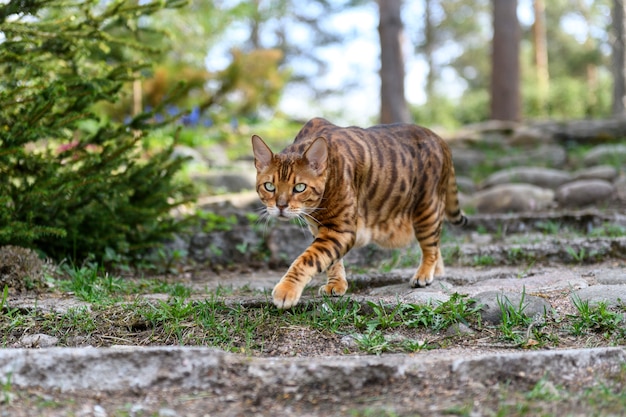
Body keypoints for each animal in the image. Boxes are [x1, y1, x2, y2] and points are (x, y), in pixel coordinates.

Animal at [249, 118, 464, 308]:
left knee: (430, 246)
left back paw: (424, 274)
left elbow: (308, 259)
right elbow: (331, 260)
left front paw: (286, 290)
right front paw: (336, 284)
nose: (281, 206)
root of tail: (439, 138)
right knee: (435, 244)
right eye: (269, 186)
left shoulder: (340, 230)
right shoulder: (321, 228)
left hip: (426, 208)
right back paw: (437, 271)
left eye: (299, 187)